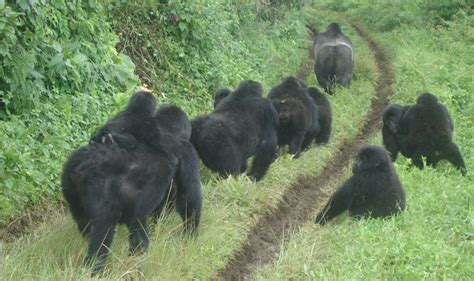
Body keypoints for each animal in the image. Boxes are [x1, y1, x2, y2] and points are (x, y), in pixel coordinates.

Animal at [61, 91, 202, 274]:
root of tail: (82, 167)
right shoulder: (186, 151)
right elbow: (189, 196)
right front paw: (191, 236)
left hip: (69, 182)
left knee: (84, 222)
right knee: (103, 231)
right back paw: (95, 266)